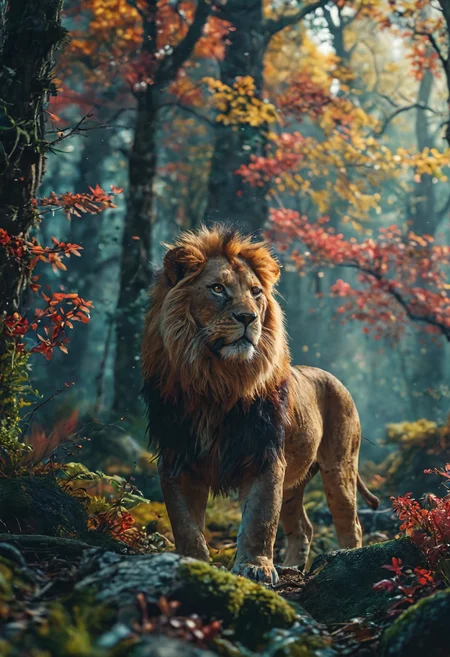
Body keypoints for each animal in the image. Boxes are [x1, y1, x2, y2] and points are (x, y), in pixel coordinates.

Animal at [142, 224, 379, 585]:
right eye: (217, 288)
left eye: (255, 292)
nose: (248, 318)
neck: (216, 381)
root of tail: (332, 377)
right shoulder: (176, 457)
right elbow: (185, 523)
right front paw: (192, 562)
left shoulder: (264, 455)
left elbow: (260, 519)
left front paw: (255, 567)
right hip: (295, 482)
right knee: (303, 528)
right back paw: (292, 567)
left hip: (340, 467)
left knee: (350, 522)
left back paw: (346, 558)